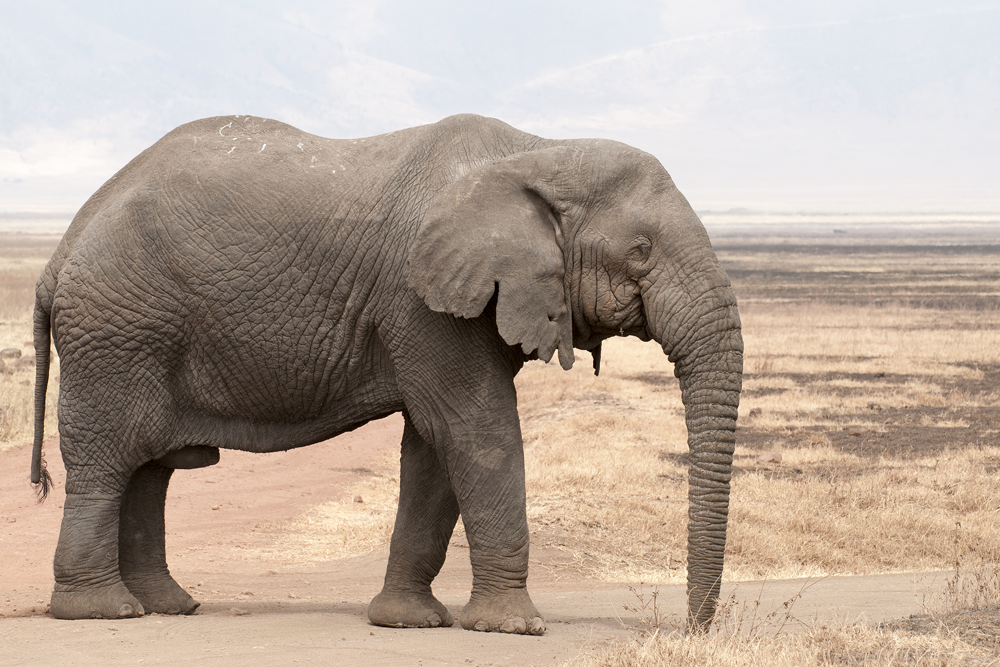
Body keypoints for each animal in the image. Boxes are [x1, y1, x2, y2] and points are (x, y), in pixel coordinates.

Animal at [30, 113, 742, 632]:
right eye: (641, 252)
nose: (688, 630)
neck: (537, 151)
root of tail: (58, 254)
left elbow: (433, 449)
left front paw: (408, 622)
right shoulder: (422, 300)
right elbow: (476, 431)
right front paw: (514, 629)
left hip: (134, 331)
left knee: (149, 470)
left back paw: (167, 607)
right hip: (116, 333)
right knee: (107, 462)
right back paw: (102, 612)